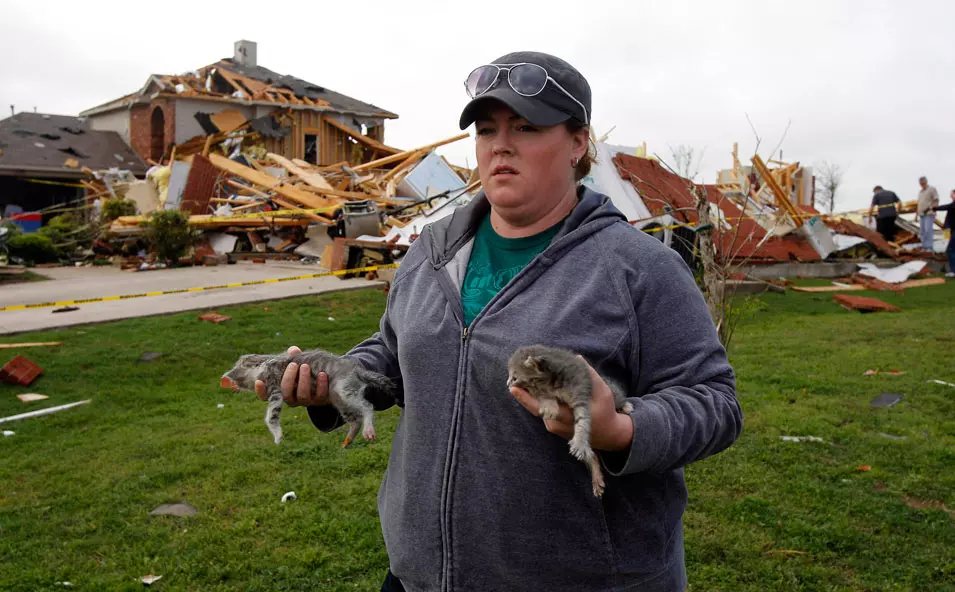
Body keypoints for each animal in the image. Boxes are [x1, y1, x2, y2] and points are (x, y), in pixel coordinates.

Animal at [222, 350, 394, 446]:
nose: (232, 384)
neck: (265, 364)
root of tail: (357, 369)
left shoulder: (275, 390)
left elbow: (271, 416)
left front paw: (277, 435)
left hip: (344, 389)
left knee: (367, 406)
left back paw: (368, 429)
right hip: (338, 397)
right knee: (355, 420)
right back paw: (348, 439)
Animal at [508, 344, 636, 498]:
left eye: (514, 377)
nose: (507, 383)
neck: (551, 384)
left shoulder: (581, 393)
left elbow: (583, 421)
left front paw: (580, 442)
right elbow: (544, 397)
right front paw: (549, 407)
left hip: (612, 392)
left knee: (618, 397)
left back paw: (625, 406)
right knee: (593, 455)